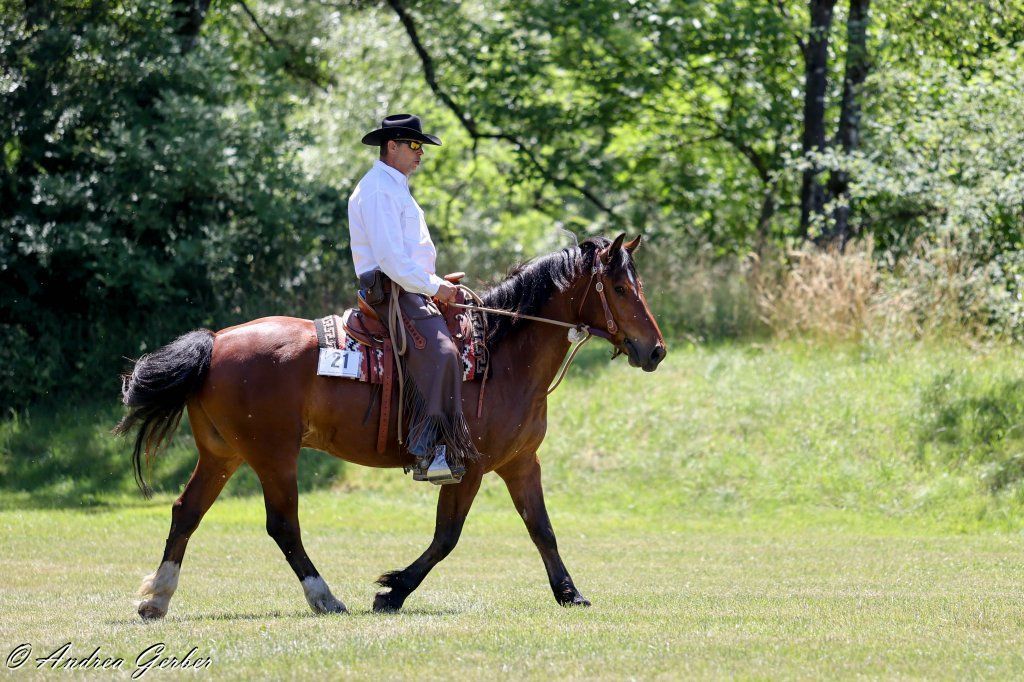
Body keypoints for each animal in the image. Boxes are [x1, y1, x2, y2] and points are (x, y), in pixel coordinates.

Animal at [115, 233, 666, 619]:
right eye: (621, 288)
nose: (655, 350)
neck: (502, 355)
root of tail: (215, 342)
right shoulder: (467, 467)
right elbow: (447, 537)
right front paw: (393, 591)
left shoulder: (520, 463)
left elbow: (542, 530)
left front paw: (570, 593)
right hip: (273, 455)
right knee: (283, 525)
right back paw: (325, 598)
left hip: (222, 454)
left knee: (187, 511)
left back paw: (157, 598)